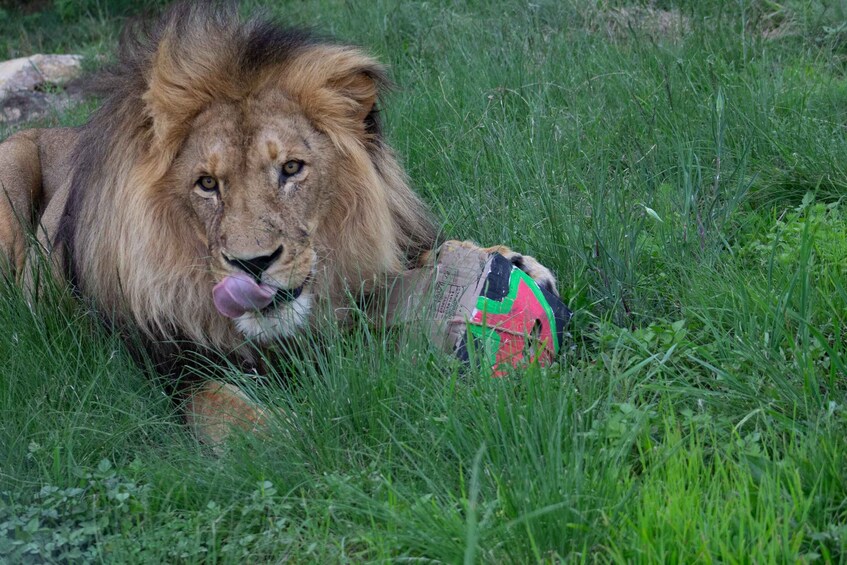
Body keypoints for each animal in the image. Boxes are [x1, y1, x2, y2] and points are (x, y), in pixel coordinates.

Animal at [0, 2, 558, 445]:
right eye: (207, 183)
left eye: (291, 168)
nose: (254, 264)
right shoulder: (165, 366)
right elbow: (224, 407)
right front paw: (292, 438)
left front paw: (508, 261)